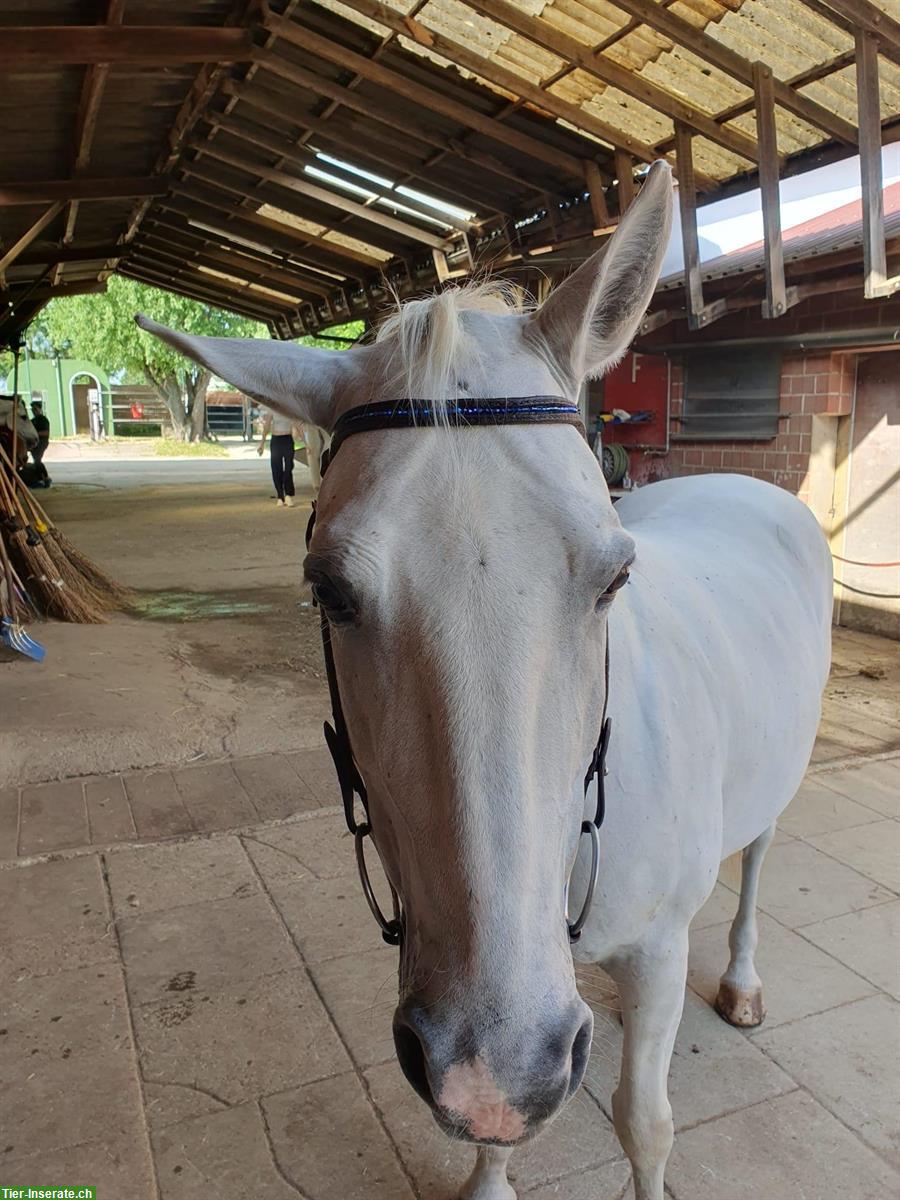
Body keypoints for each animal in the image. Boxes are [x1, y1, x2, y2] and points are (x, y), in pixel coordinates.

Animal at [137, 162, 835, 1200]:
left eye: (614, 578)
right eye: (329, 591)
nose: (500, 1062)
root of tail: (748, 485)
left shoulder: (656, 953)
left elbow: (645, 1125)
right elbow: (496, 1131)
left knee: (756, 861)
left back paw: (743, 981)